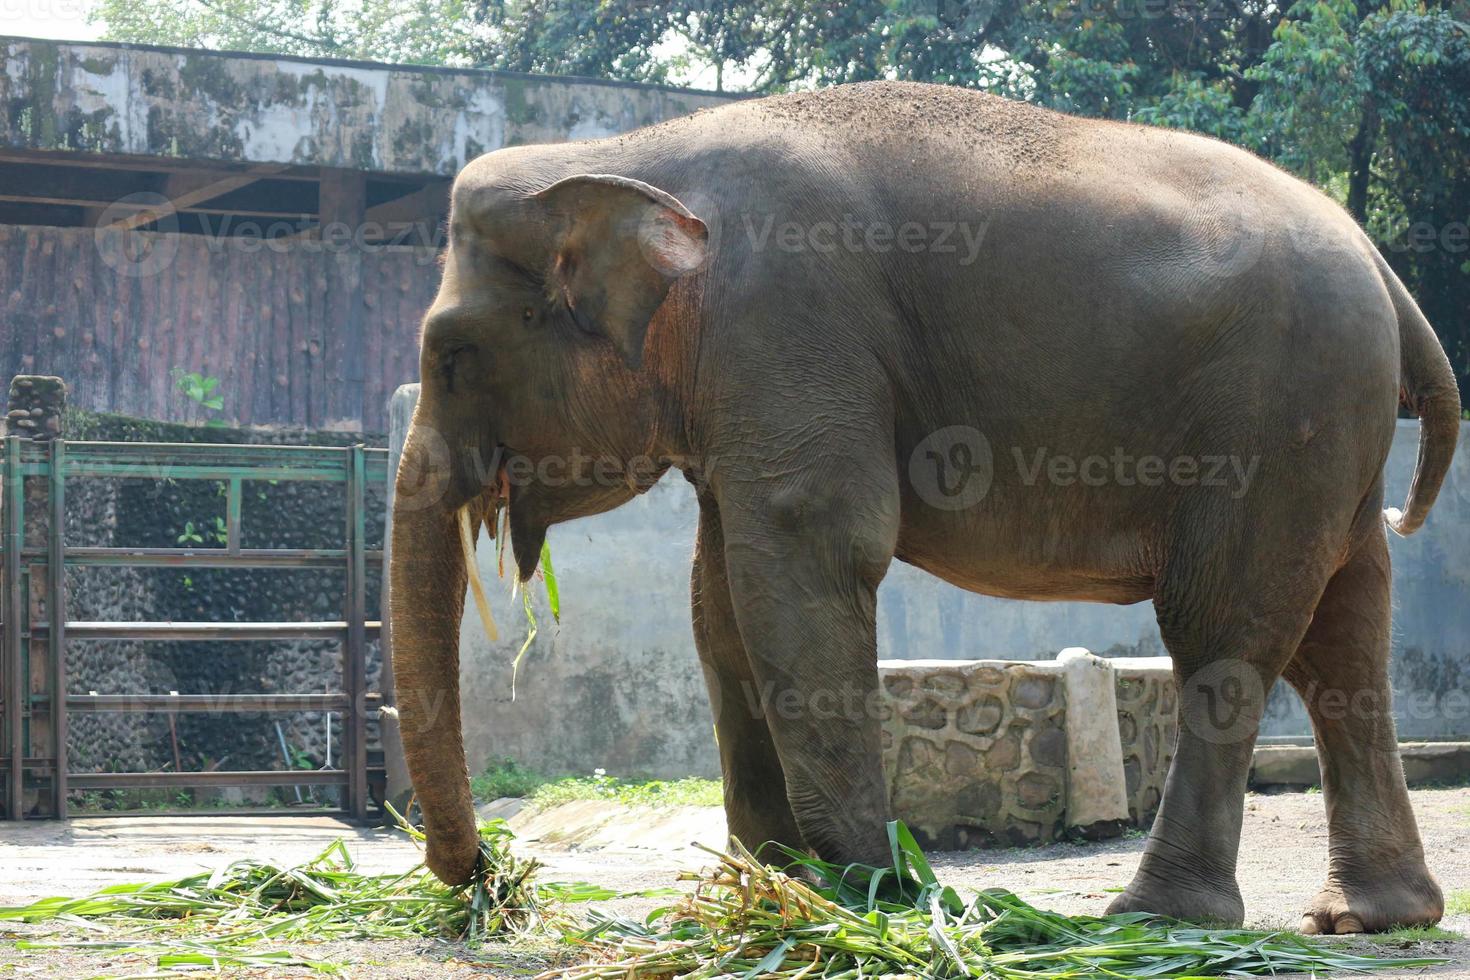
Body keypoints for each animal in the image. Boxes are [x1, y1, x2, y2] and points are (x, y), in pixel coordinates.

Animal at [391, 80, 1458, 934]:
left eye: (452, 355)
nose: (482, 872)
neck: (634, 155)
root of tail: (1388, 273)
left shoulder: (789, 317)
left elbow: (808, 551)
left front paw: (874, 894)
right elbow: (719, 599)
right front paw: (778, 888)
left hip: (1276, 423)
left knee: (1223, 634)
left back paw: (1153, 919)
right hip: (1329, 434)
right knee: (1344, 632)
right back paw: (1368, 917)